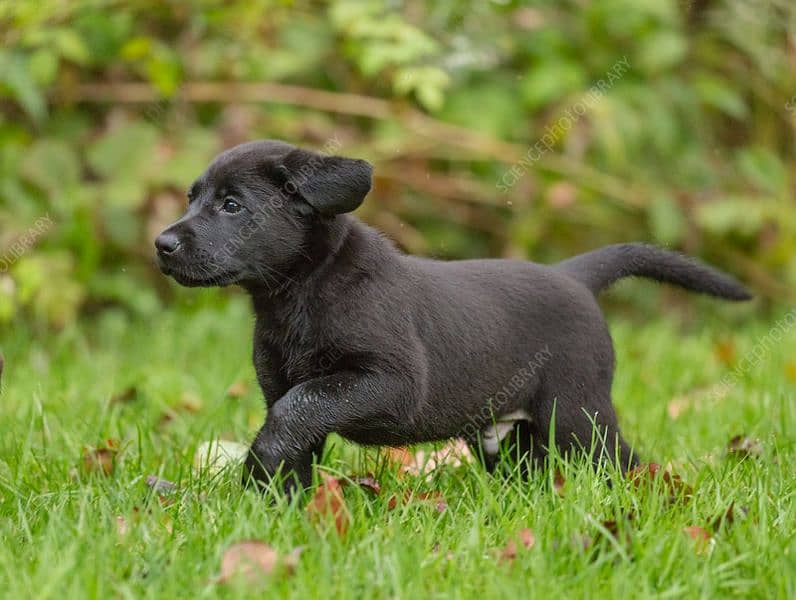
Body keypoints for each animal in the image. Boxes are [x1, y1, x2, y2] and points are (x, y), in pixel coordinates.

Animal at [155, 141, 752, 492]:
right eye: (192, 198)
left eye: (232, 206)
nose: (162, 243)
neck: (299, 291)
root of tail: (573, 277)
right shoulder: (282, 381)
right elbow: (296, 425)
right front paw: (277, 502)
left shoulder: (390, 381)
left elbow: (296, 411)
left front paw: (260, 468)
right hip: (511, 434)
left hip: (577, 413)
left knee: (619, 458)